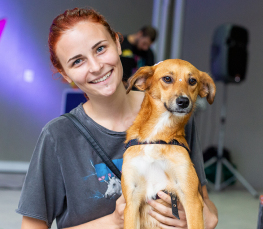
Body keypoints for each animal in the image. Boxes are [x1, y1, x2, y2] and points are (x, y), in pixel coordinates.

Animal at [121, 59, 217, 229]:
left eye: (192, 81)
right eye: (167, 79)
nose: (184, 101)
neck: (158, 136)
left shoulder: (191, 197)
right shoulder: (131, 201)